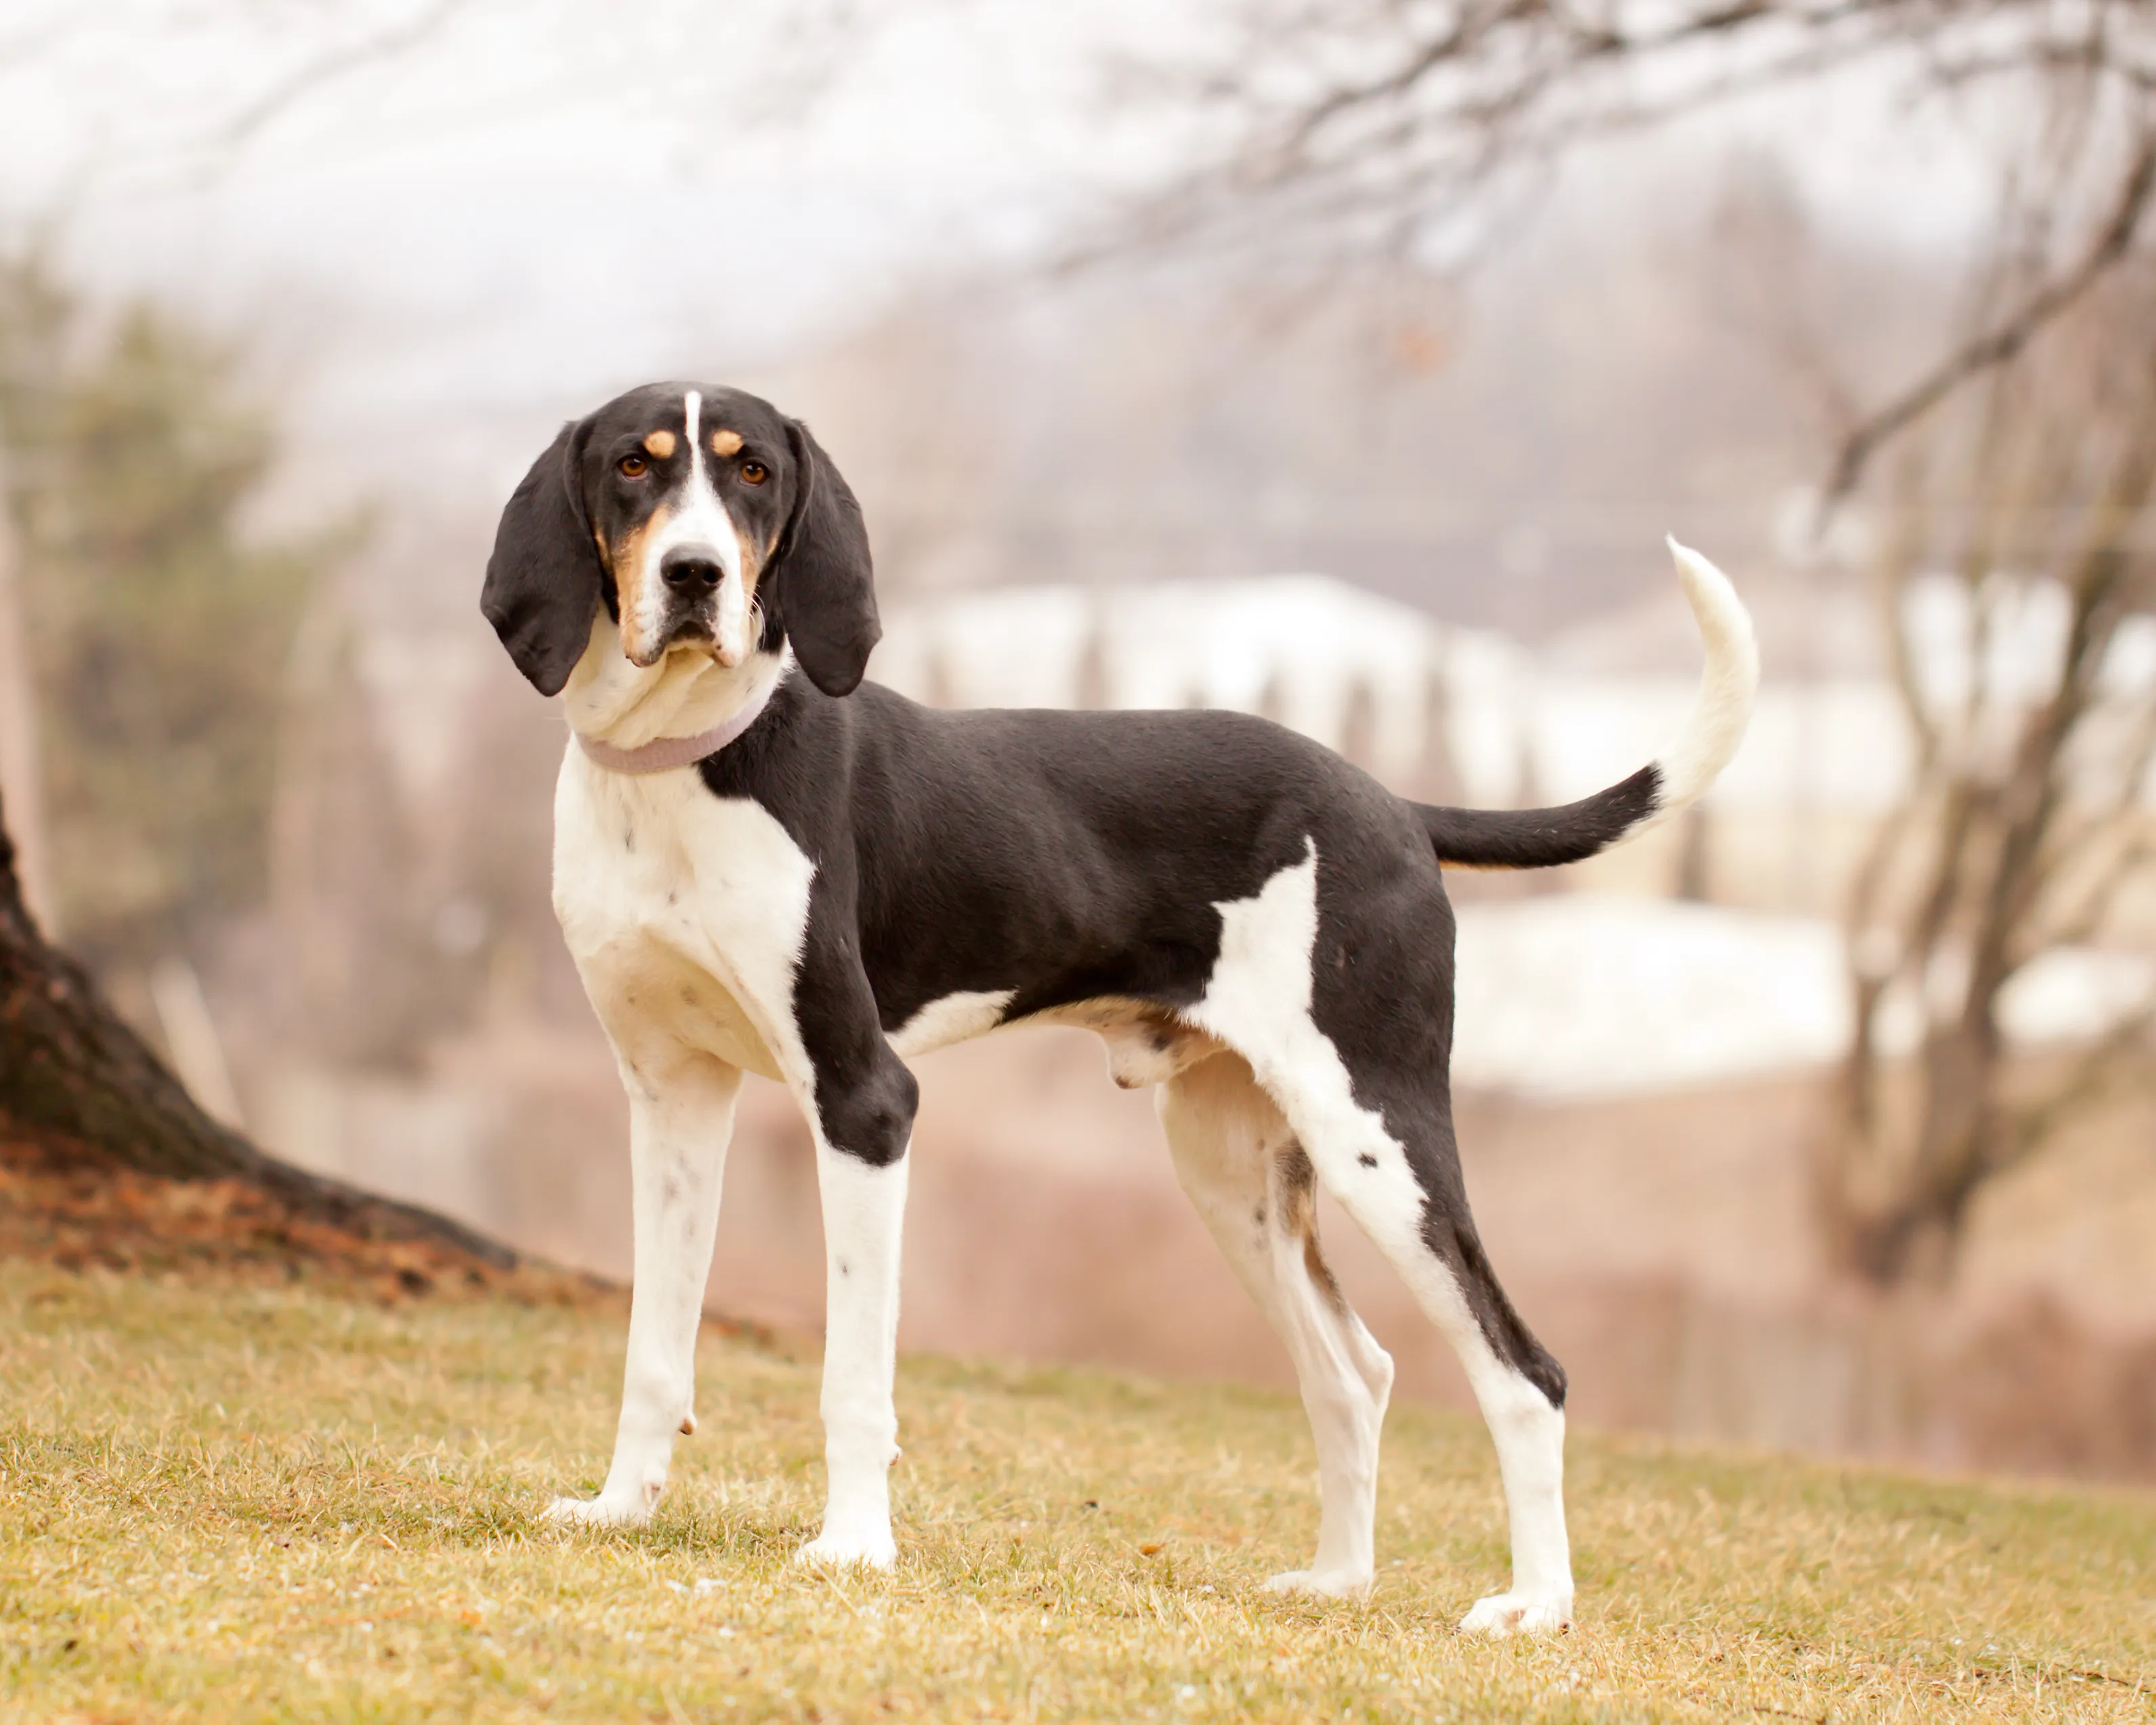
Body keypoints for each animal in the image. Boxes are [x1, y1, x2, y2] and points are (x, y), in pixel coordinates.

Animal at [480, 377, 1759, 1629]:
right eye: (633, 466)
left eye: (751, 471)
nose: (694, 574)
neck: (687, 763)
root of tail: (1392, 805)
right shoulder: (671, 1098)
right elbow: (654, 1346)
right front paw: (618, 1510)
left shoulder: (863, 1102)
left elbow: (854, 1373)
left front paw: (851, 1550)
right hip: (1231, 1170)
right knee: (1353, 1373)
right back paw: (1336, 1582)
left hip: (1376, 1134)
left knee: (1522, 1371)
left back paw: (1535, 1604)